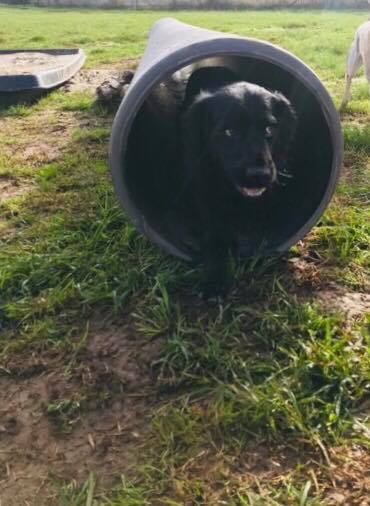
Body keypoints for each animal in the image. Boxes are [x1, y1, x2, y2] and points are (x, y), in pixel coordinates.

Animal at [181, 67, 296, 296]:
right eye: (229, 131)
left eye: (269, 129)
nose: (259, 174)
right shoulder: (207, 196)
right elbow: (216, 236)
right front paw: (216, 278)